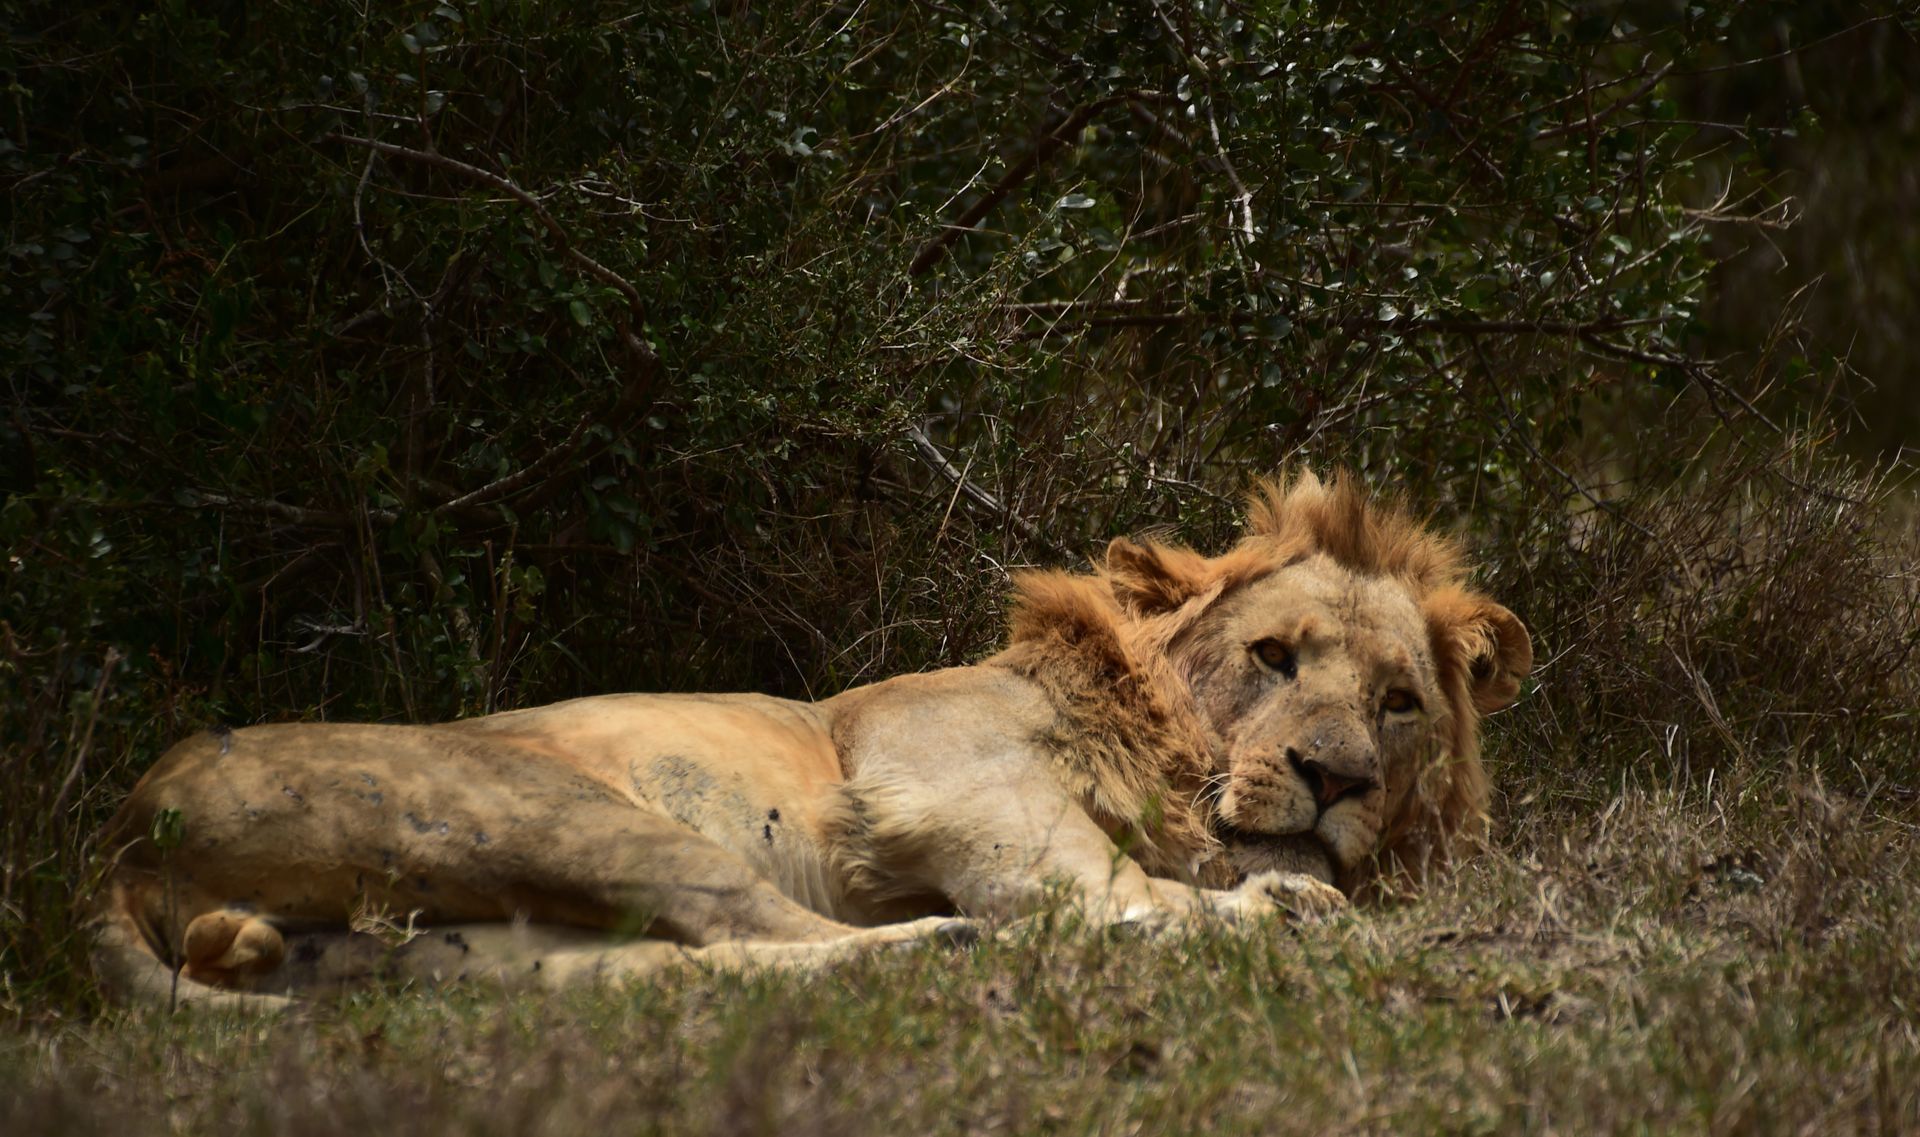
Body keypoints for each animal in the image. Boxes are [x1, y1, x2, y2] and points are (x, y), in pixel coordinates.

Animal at [89, 471, 1530, 1005]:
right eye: (1274, 657)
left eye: (1399, 703)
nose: (1335, 777)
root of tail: (121, 835)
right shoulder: (955, 785)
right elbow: (1106, 885)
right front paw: (1249, 909)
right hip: (551, 810)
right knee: (763, 923)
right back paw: (952, 944)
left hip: (466, 938)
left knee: (649, 970)